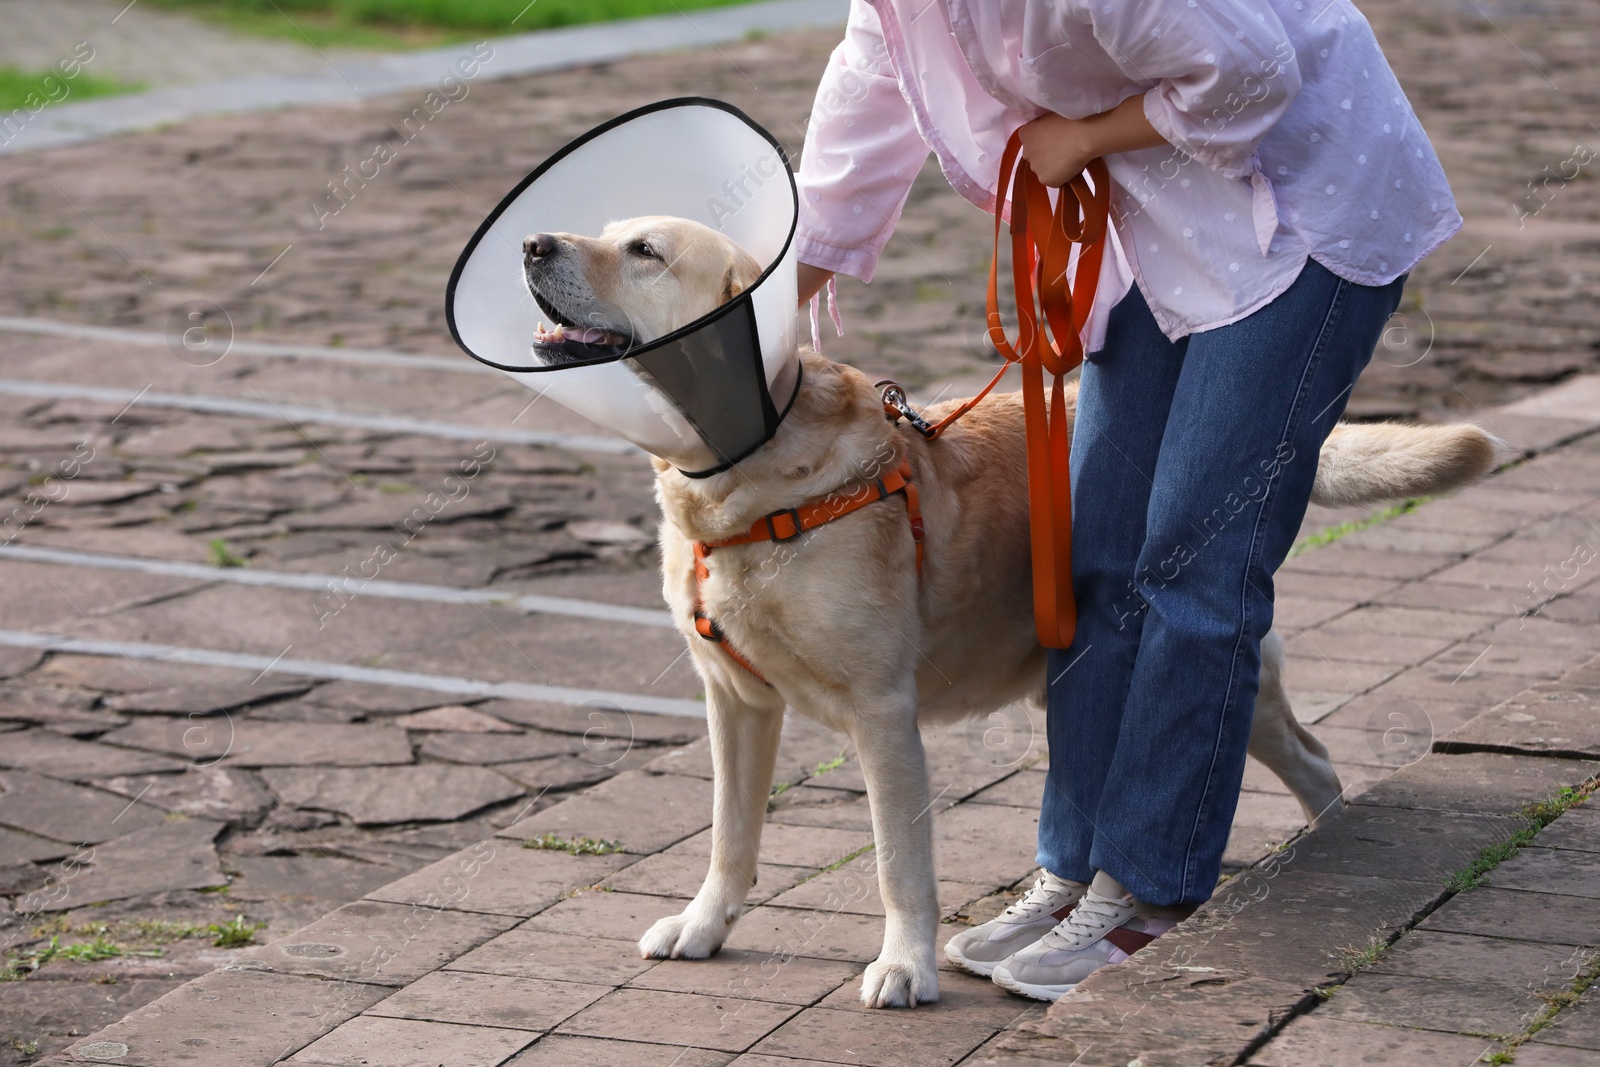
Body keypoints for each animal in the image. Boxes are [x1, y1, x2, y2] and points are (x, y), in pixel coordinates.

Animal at [521, 212, 1497, 1004]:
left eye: (644, 251)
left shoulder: (883, 713)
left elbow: (899, 865)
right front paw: (705, 925)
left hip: (1224, 661)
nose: (531, 242)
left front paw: (904, 966)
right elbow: (730, 834)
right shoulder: (734, 700)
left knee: (1314, 759)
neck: (748, 480)